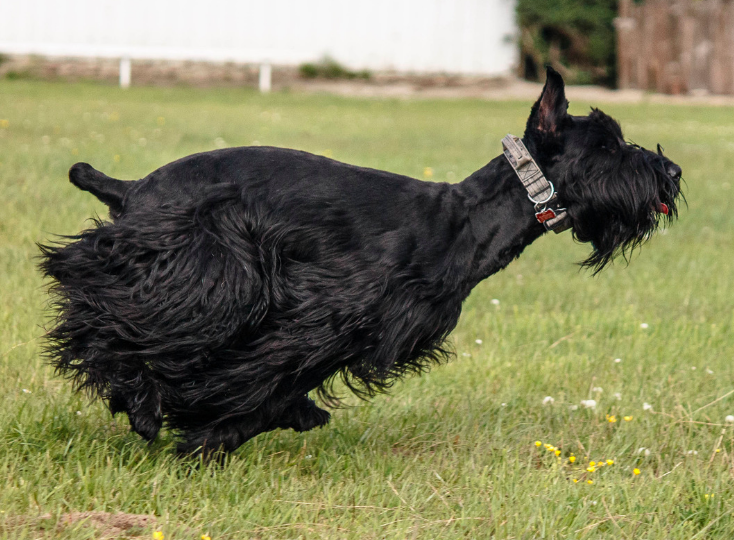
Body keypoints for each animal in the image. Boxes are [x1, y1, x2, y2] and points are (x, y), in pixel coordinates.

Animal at [40, 69, 684, 454]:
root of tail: (132, 189)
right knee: (104, 316)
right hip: (200, 274)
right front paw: (208, 432)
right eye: (605, 145)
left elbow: (277, 378)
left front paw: (251, 422)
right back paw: (141, 405)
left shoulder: (353, 329)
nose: (673, 172)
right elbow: (265, 371)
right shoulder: (326, 310)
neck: (463, 219)